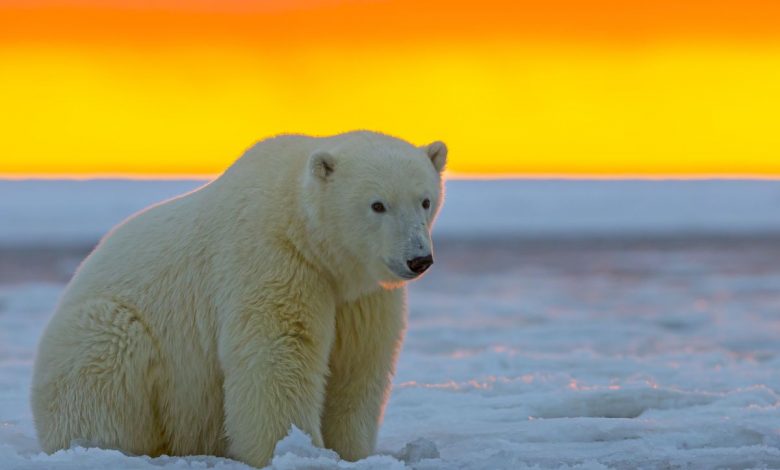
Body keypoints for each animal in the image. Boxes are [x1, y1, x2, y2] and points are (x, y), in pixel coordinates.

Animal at [32, 131, 444, 466]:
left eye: (425, 201)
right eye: (378, 204)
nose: (418, 258)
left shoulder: (360, 295)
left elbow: (360, 362)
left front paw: (351, 452)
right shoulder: (269, 257)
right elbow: (279, 353)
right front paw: (291, 450)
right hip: (102, 332)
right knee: (105, 362)